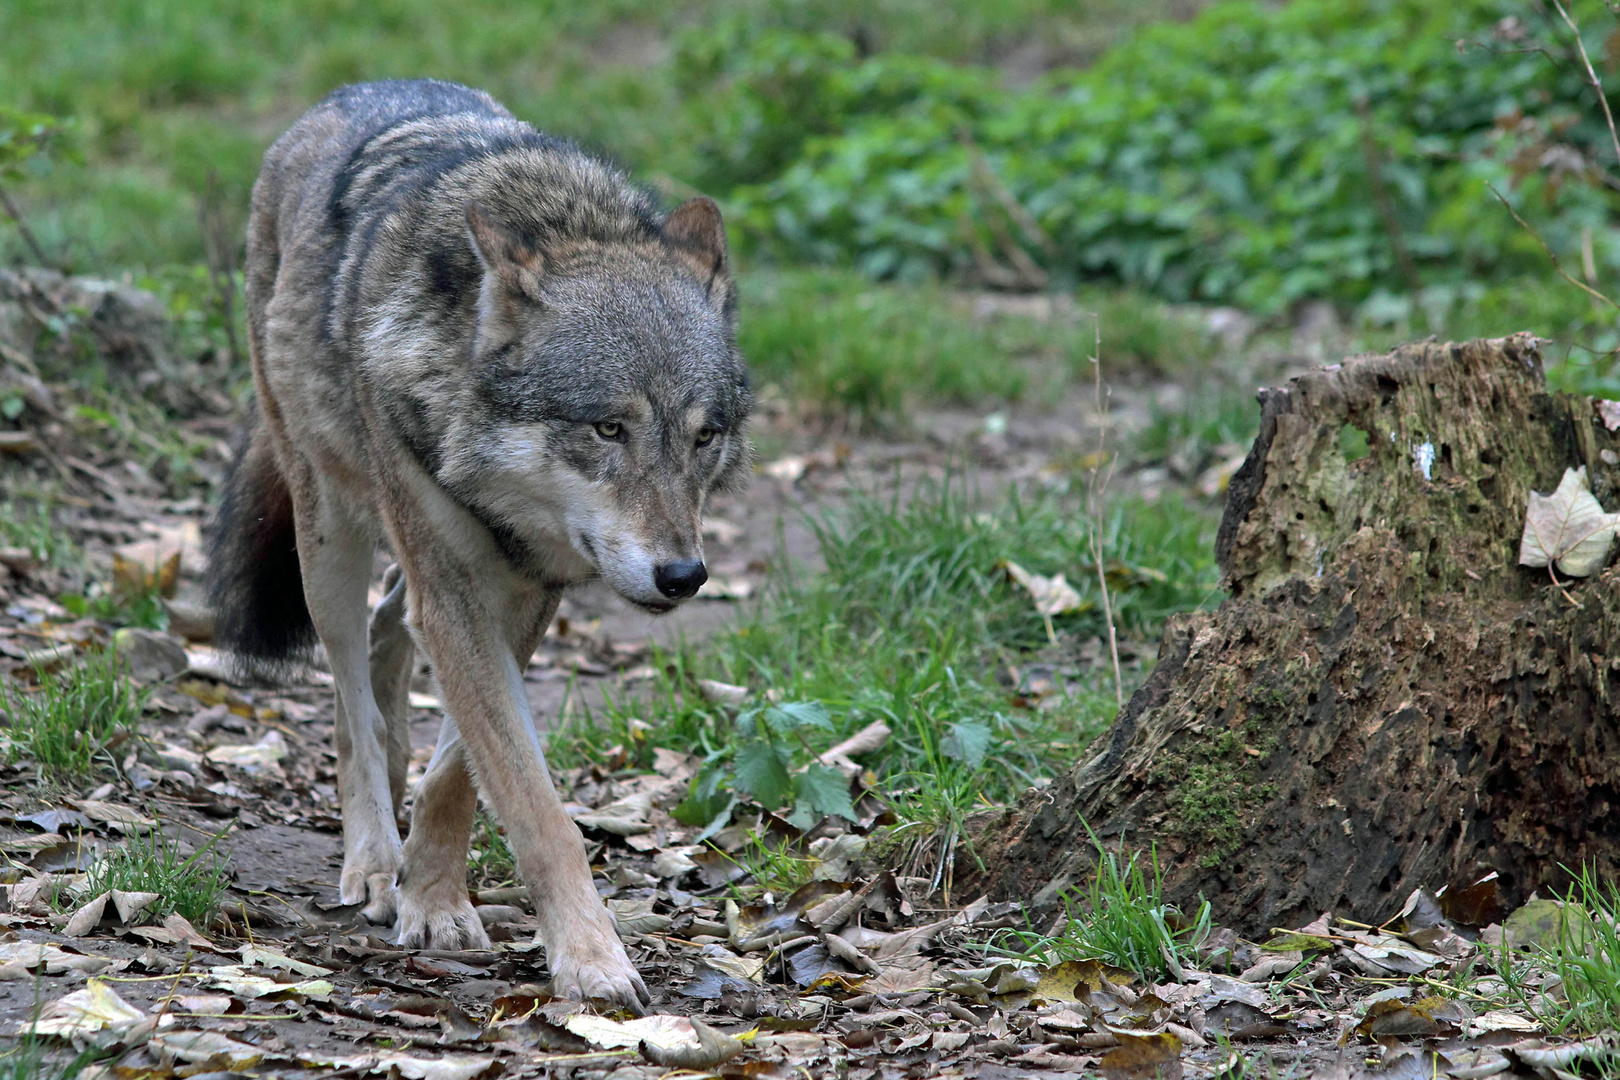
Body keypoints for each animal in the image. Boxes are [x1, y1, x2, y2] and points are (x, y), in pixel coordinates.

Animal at [207, 80, 751, 1010]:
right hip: (329, 534)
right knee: (349, 694)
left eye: (703, 436)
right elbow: (534, 806)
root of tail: (341, 95)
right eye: (608, 428)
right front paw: (588, 956)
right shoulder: (456, 589)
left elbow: (461, 773)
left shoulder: (526, 591)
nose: (682, 574)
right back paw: (370, 856)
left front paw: (432, 895)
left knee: (390, 634)